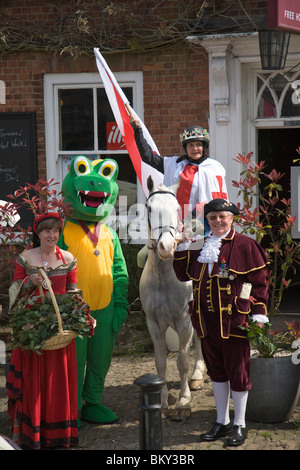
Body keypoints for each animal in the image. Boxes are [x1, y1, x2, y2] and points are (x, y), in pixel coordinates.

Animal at [139, 176, 205, 418]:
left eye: (176, 208)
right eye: (149, 208)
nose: (166, 247)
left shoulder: (184, 321)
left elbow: (182, 361)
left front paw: (183, 399)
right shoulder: (153, 323)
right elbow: (160, 362)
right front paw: (163, 399)